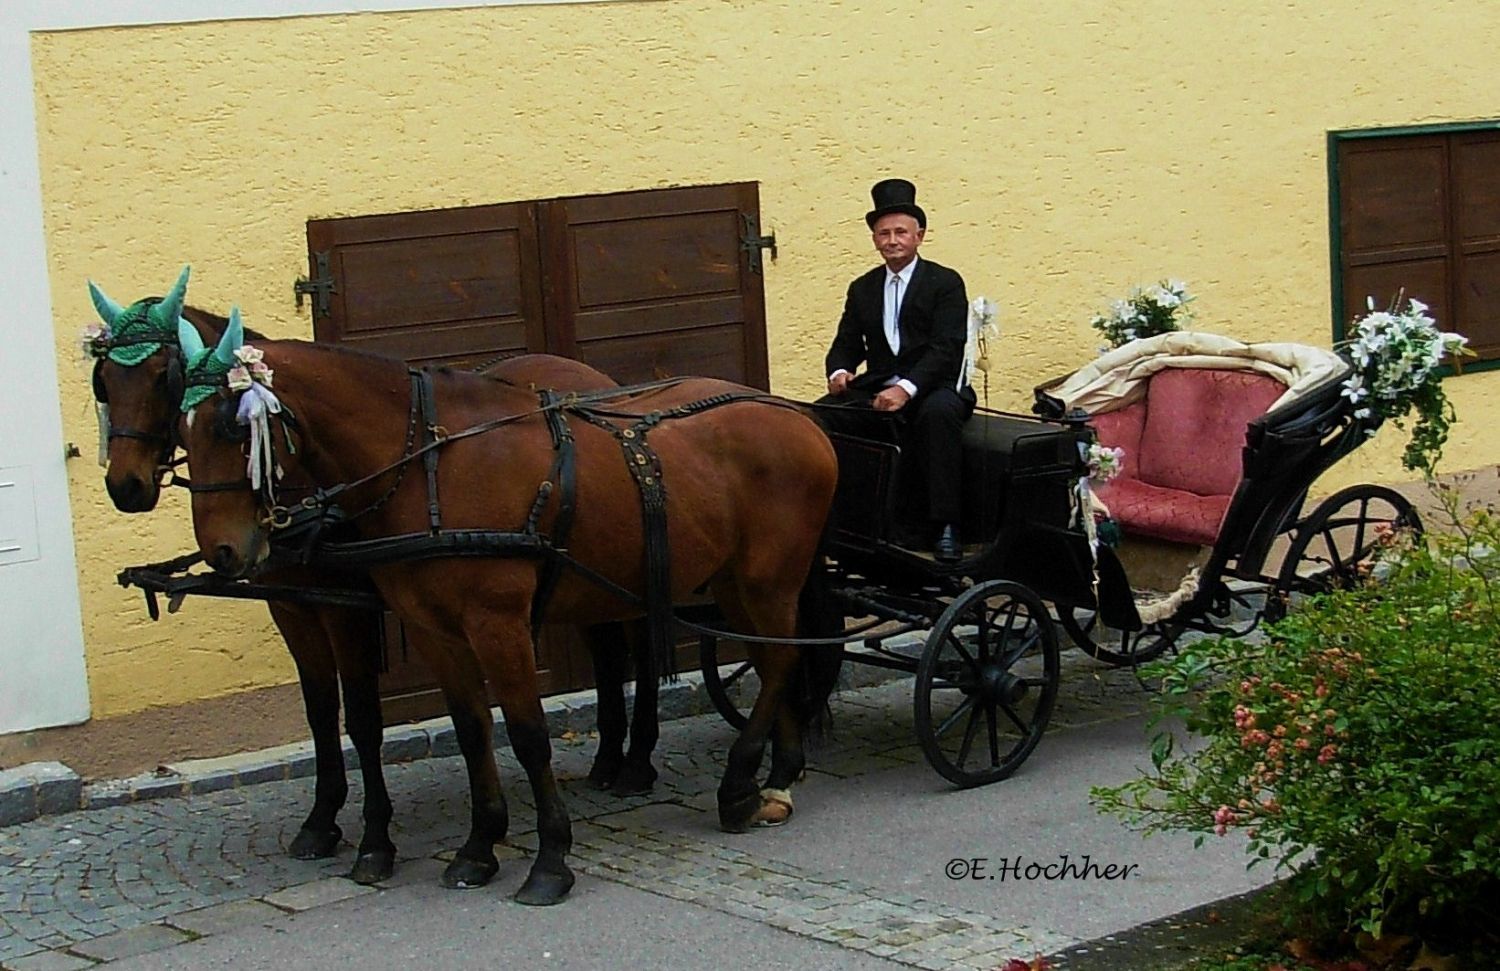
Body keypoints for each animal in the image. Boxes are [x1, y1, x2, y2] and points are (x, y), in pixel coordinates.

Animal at [87, 276, 660, 888]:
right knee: (607, 648)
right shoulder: (294, 608)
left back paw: (636, 761)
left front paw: (374, 840)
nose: (125, 486)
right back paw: (609, 759)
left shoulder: (348, 612)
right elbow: (321, 715)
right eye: (104, 381)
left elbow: (362, 718)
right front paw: (321, 821)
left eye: (163, 376)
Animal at [180, 324, 840, 906]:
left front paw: (550, 861)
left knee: (779, 663)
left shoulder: (497, 625)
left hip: (768, 580)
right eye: (182, 431)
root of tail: (796, 416)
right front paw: (478, 847)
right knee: (770, 662)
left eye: (232, 426)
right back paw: (774, 779)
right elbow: (473, 731)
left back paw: (738, 786)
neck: (431, 468)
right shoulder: (436, 631)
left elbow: (526, 735)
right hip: (734, 583)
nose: (225, 550)